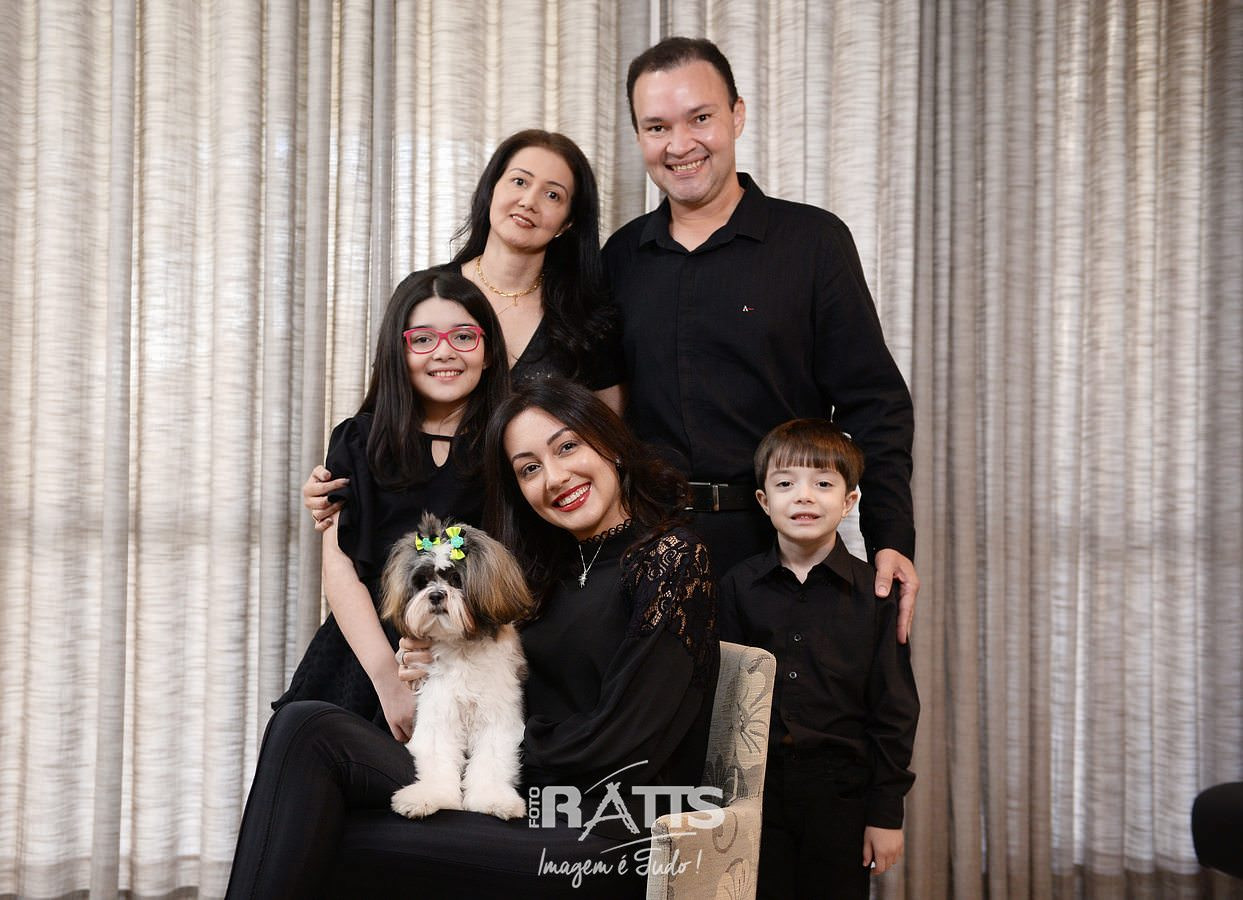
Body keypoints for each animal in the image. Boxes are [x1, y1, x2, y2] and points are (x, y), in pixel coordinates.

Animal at [379, 513, 534, 820]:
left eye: (455, 579)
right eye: (423, 581)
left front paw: (493, 799)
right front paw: (430, 796)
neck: (461, 647)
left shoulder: (498, 715)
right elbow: (438, 757)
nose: (437, 595)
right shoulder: (439, 709)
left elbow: (492, 760)